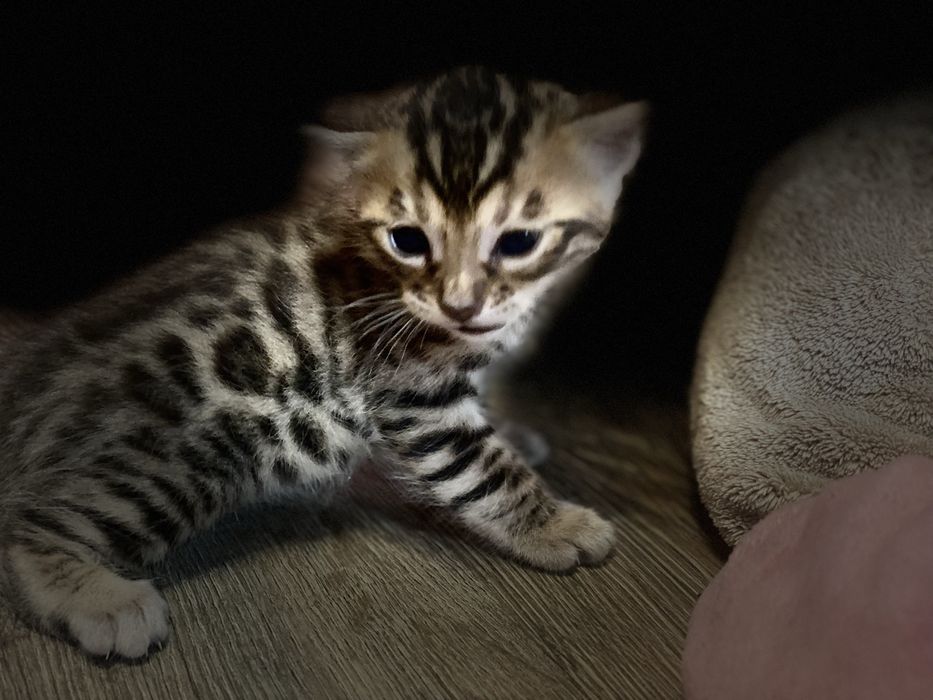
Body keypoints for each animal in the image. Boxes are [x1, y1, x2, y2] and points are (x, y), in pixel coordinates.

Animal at [0, 66, 647, 659]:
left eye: (518, 242)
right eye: (409, 240)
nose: (458, 303)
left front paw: (516, 435)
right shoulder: (410, 389)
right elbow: (480, 466)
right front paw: (553, 523)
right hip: (196, 454)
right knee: (28, 527)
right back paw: (100, 600)